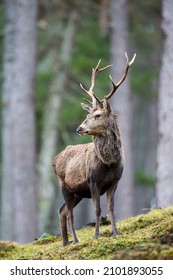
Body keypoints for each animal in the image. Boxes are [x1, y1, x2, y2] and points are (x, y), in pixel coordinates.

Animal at [52, 52, 136, 245]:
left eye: (97, 115)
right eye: (87, 114)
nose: (79, 128)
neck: (109, 163)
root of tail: (54, 159)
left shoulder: (115, 181)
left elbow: (111, 208)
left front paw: (115, 232)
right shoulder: (92, 181)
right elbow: (97, 209)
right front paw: (96, 235)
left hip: (77, 192)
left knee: (62, 210)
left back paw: (65, 242)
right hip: (64, 185)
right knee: (69, 213)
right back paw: (75, 240)